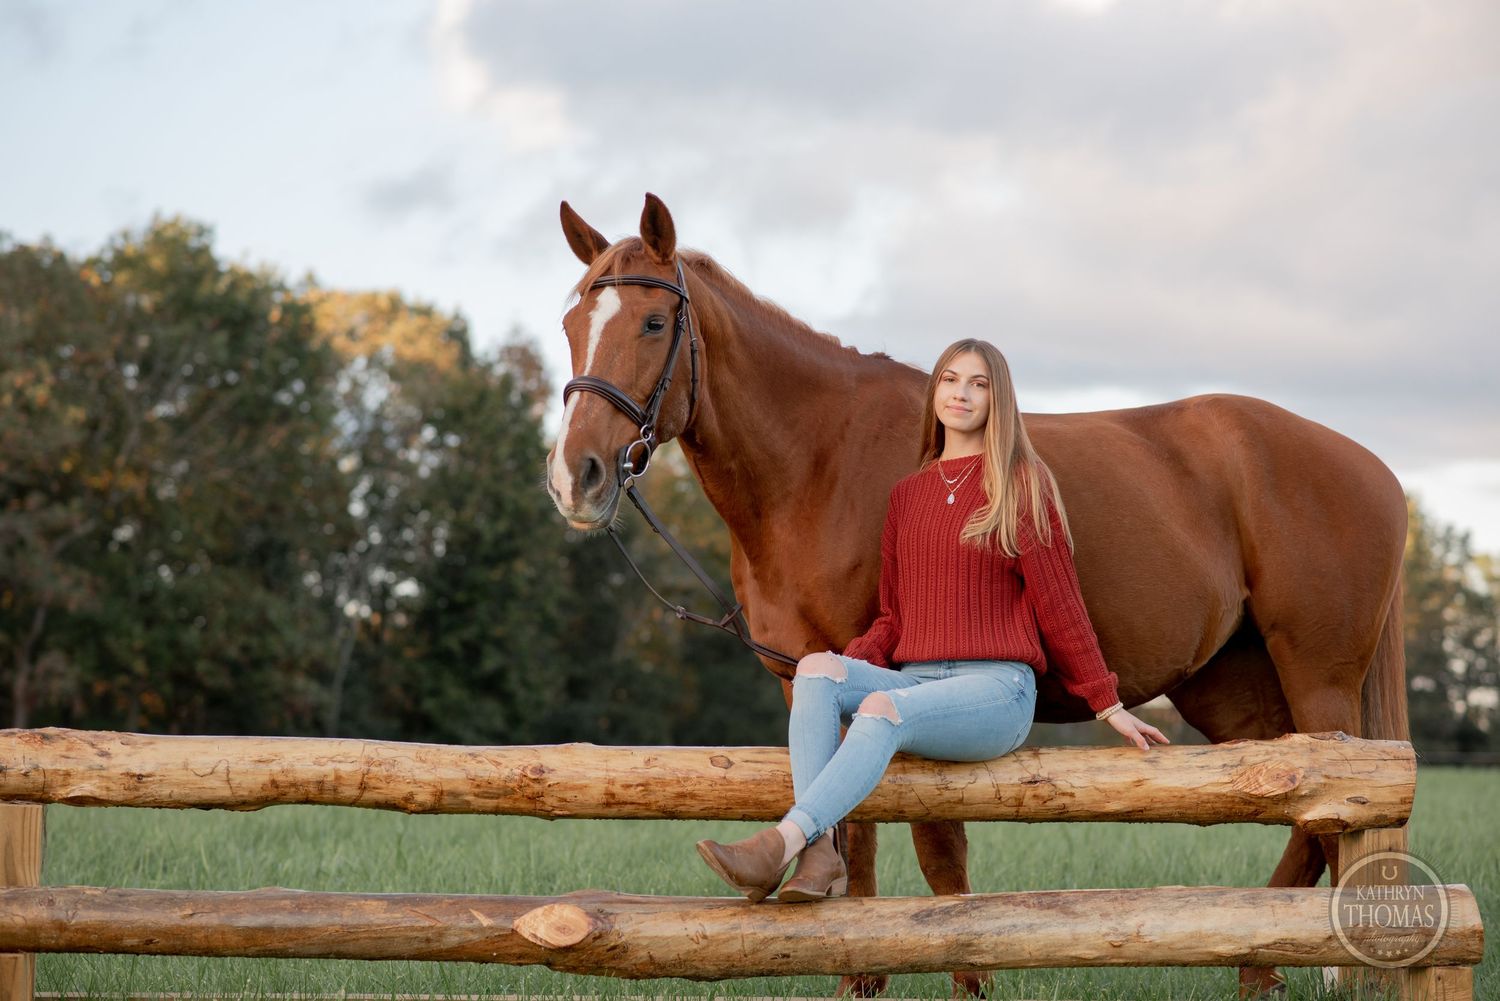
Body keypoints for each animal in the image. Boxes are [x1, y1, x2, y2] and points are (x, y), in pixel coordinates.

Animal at [543, 193, 1410, 999]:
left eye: (655, 321)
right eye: (570, 320)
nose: (575, 475)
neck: (820, 460)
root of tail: (1374, 468)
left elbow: (935, 847)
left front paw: (961, 969)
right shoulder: (804, 672)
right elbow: (853, 829)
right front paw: (858, 968)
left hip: (1318, 680)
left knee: (1334, 809)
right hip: (1234, 689)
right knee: (1299, 802)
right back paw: (1259, 964)